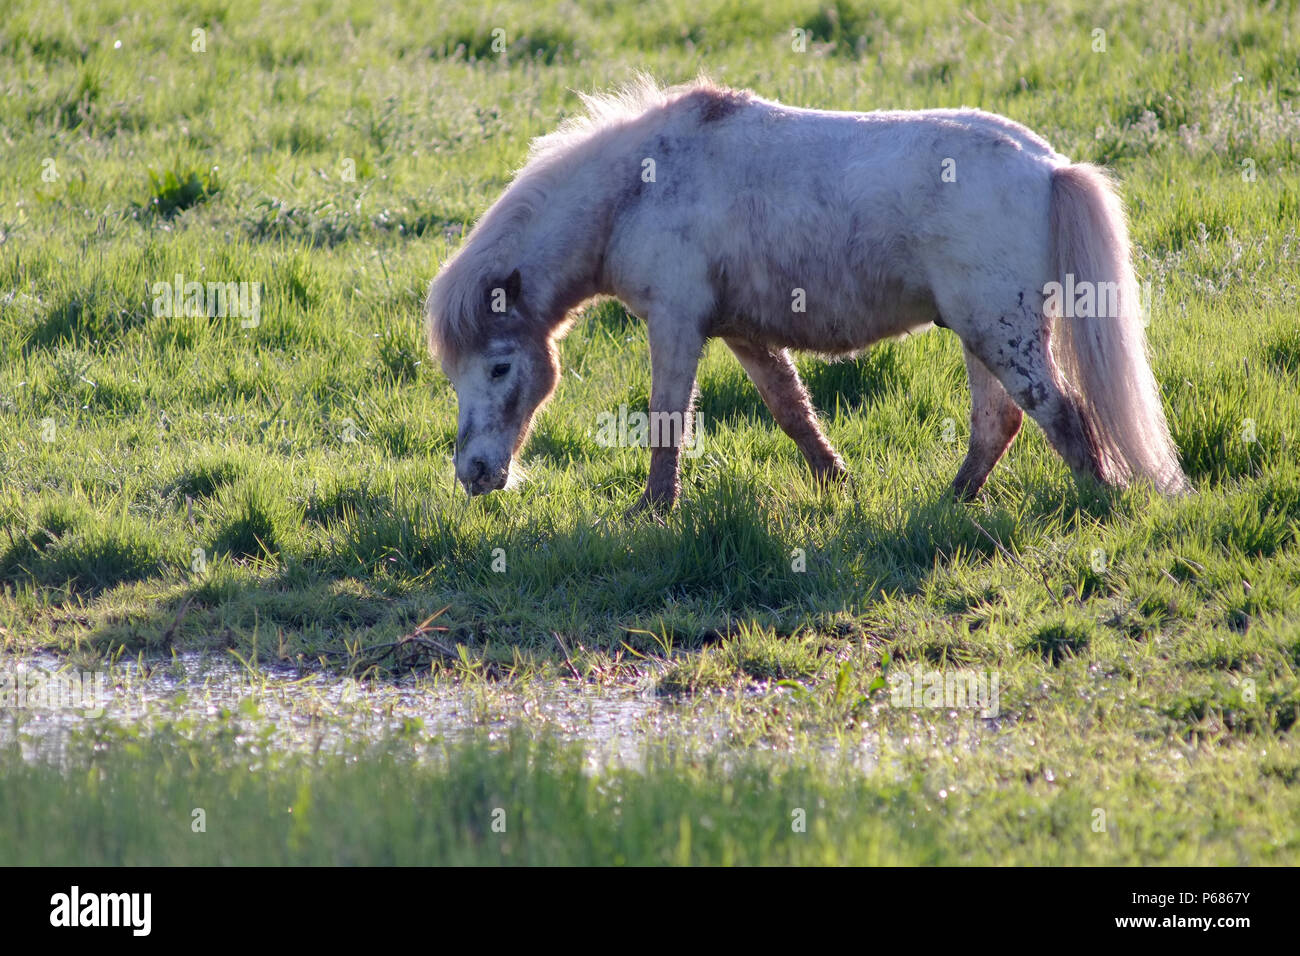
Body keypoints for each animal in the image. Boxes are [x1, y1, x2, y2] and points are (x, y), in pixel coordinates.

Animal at [428, 78, 1190, 512]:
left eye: (499, 366)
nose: (474, 473)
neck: (637, 187)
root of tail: (1050, 167)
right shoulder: (741, 333)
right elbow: (791, 411)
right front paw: (837, 484)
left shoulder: (674, 324)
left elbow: (666, 420)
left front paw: (653, 511)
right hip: (983, 333)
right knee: (998, 424)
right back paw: (946, 506)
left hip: (1000, 332)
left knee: (1061, 415)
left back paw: (1100, 503)